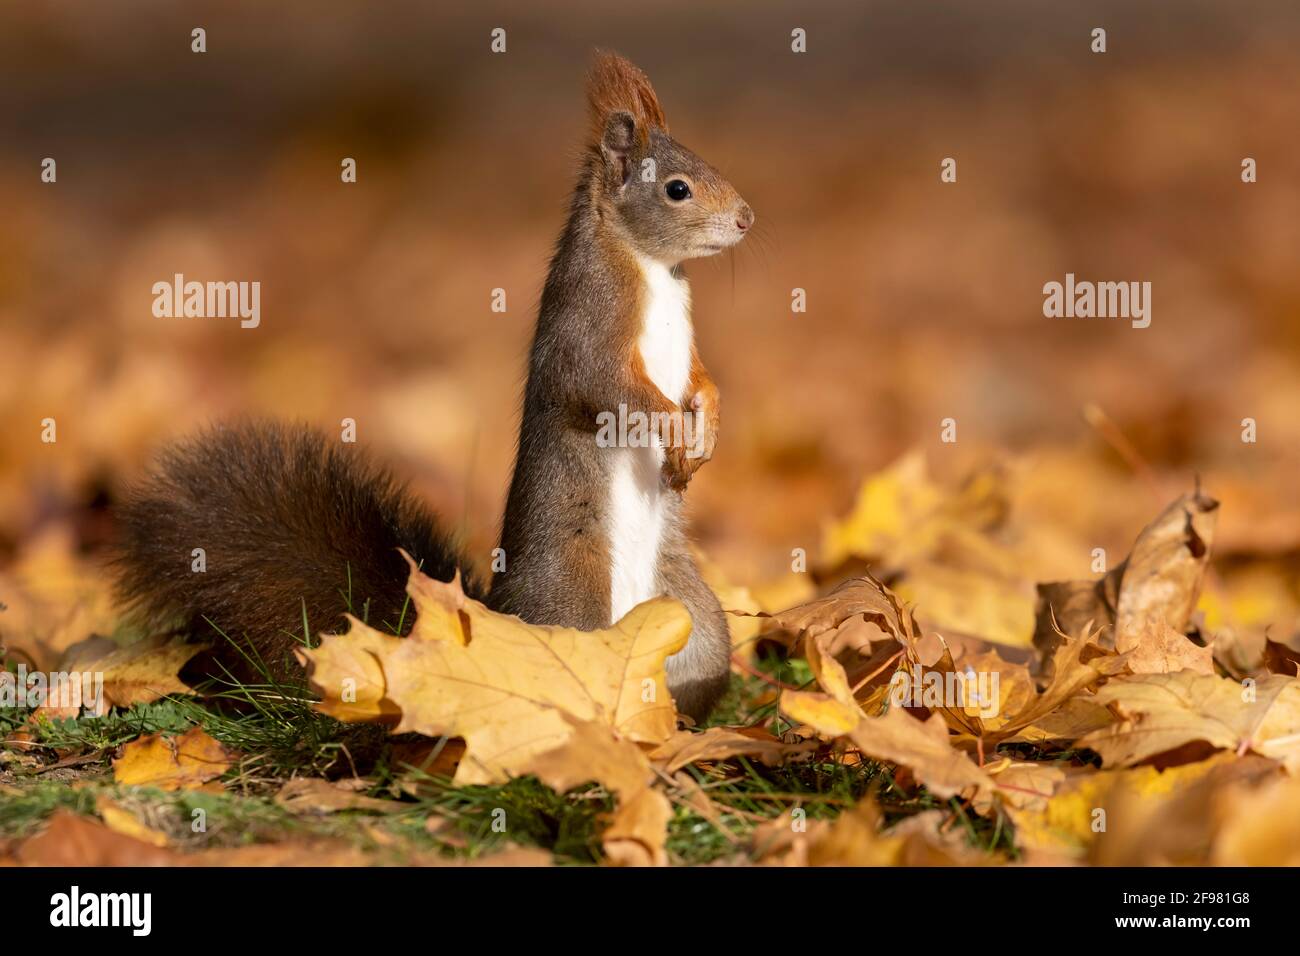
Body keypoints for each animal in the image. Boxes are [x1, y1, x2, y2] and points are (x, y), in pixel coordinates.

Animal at [119, 52, 759, 723]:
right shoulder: (589, 324)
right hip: (576, 597)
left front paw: (708, 425)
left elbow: (700, 380)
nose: (747, 218)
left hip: (694, 620)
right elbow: (609, 387)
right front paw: (676, 431)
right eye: (677, 188)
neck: (651, 266)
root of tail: (499, 617)